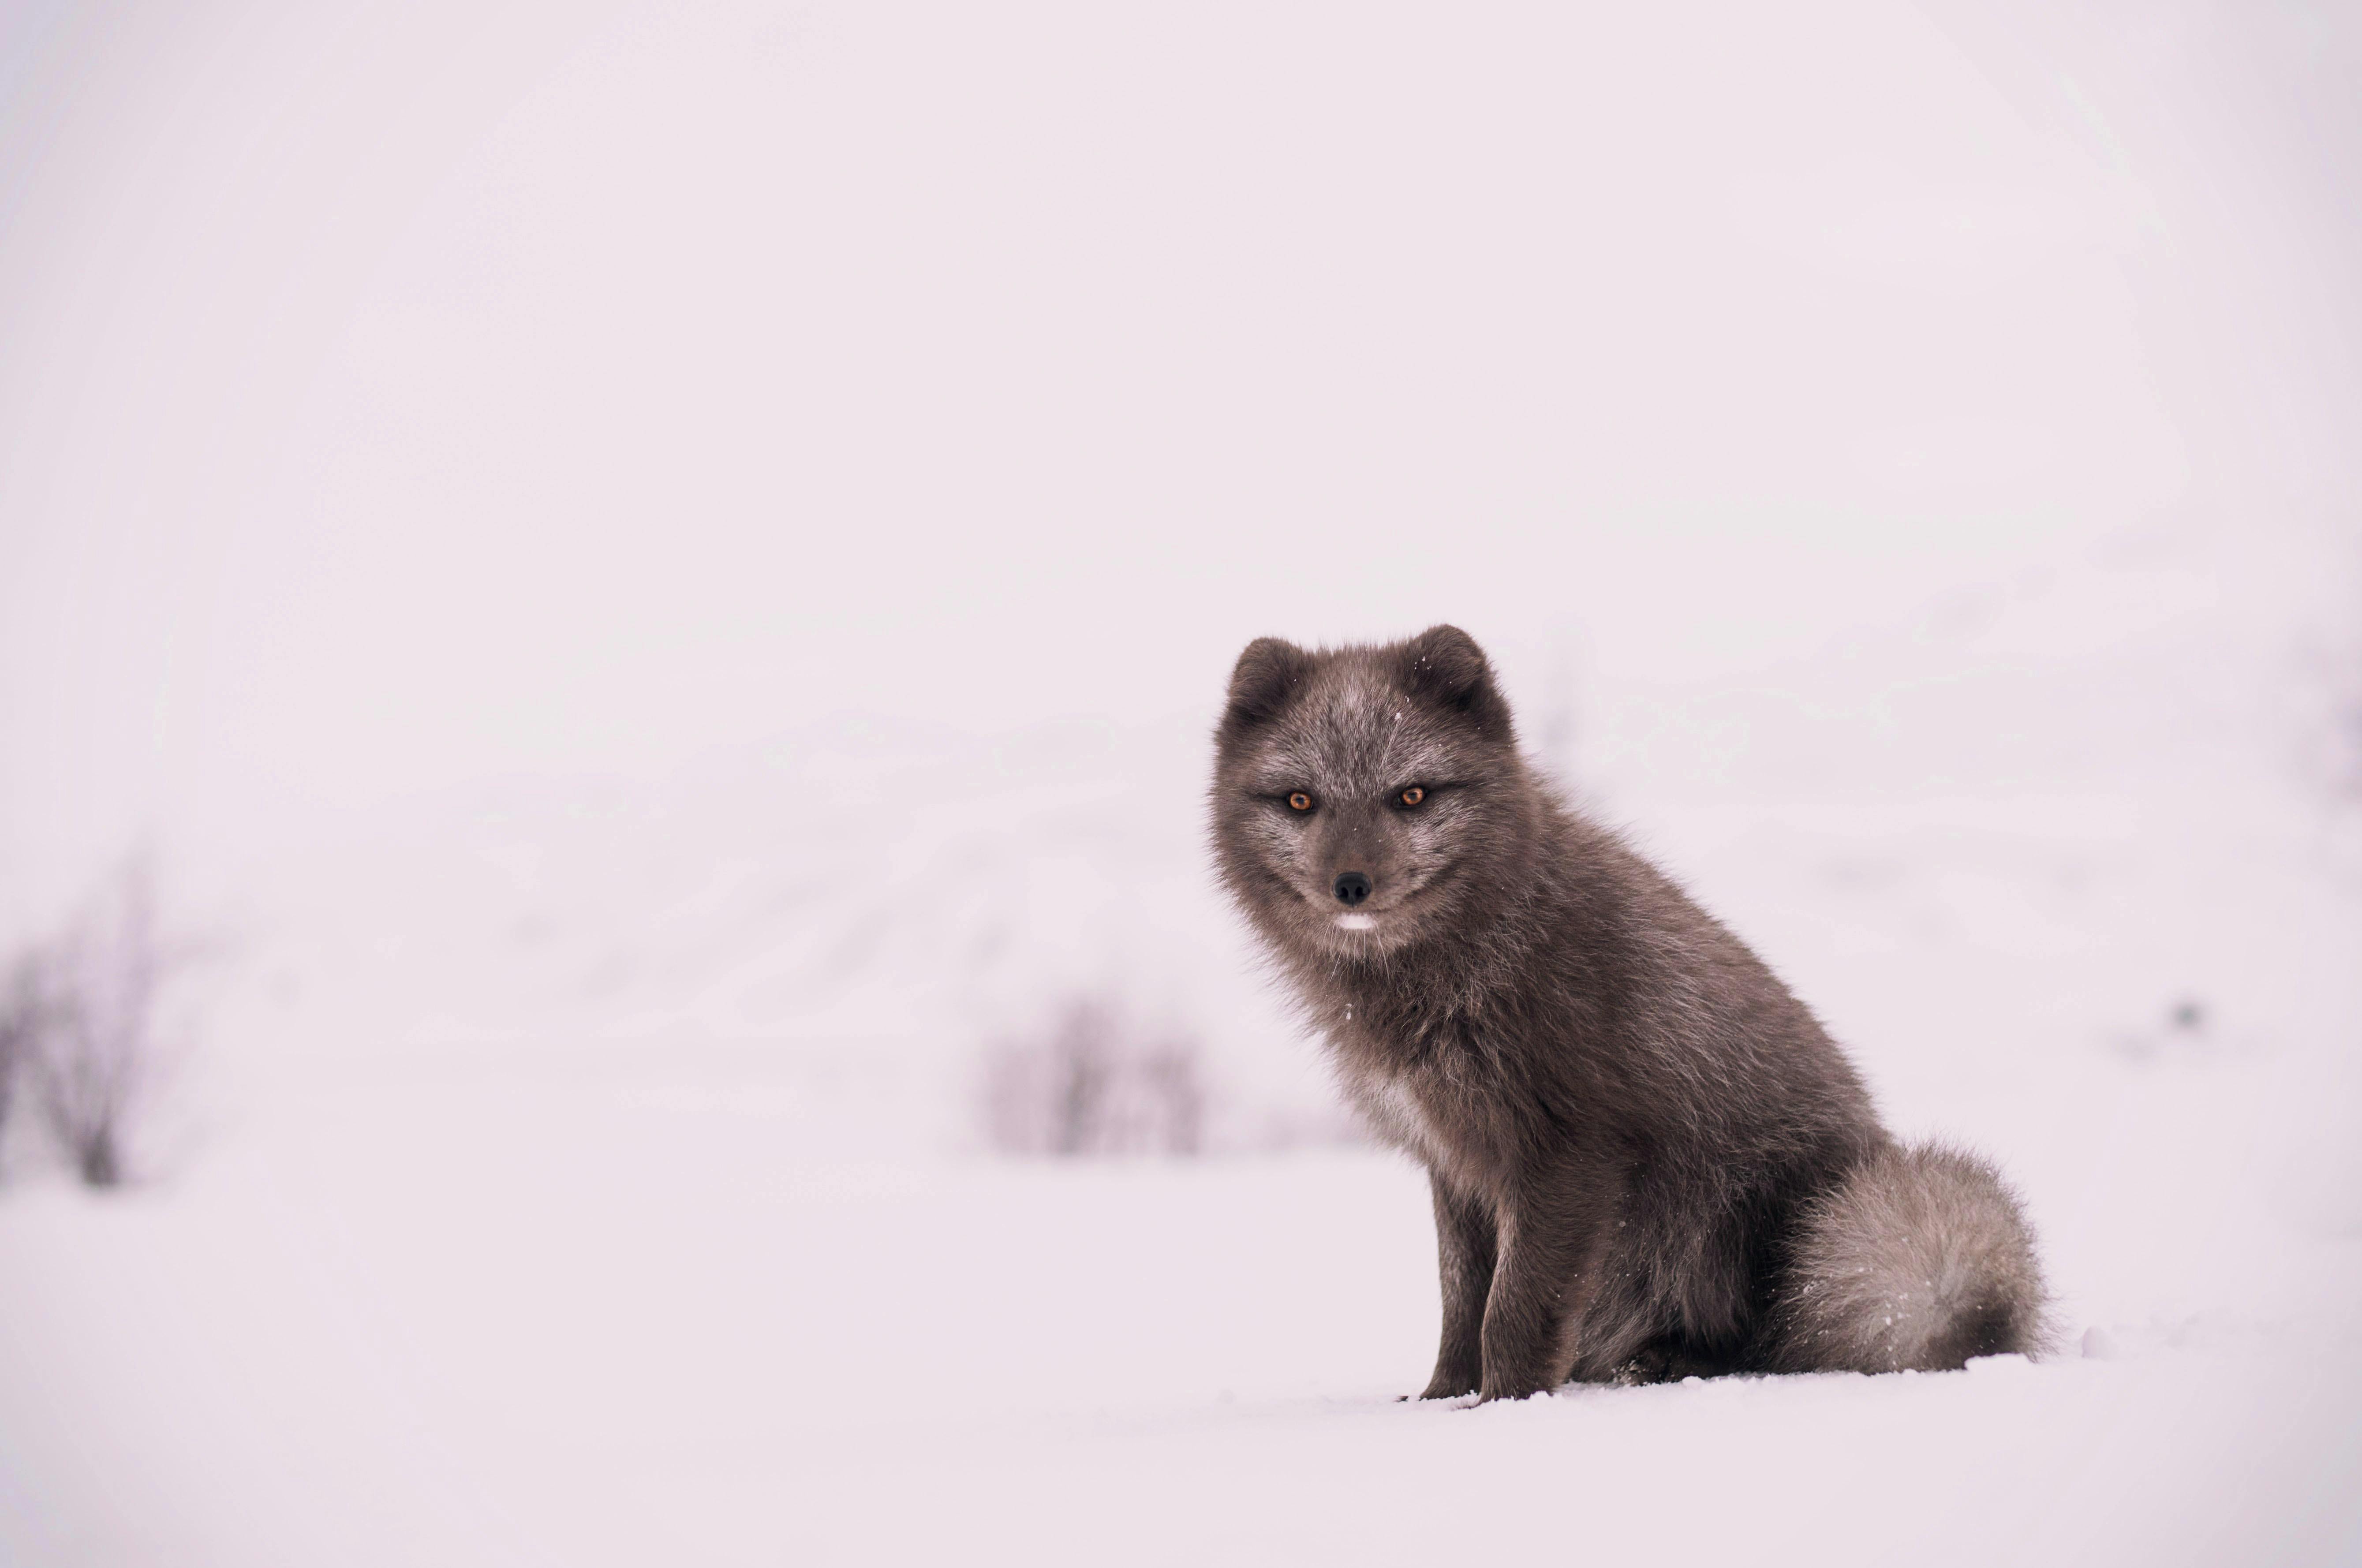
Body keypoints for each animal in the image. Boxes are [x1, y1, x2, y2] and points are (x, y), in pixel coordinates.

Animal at [1218, 623, 2050, 1398]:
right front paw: (1441, 1398)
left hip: (1743, 1212)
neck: (1478, 958)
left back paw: (1673, 1360)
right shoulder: (1454, 1162)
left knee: (1777, 1340)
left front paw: (1504, 1404)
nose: (1351, 885)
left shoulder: (1572, 1150)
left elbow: (1512, 1307)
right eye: (1300, 801)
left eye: (1412, 795)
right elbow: (1461, 1301)